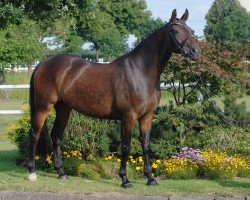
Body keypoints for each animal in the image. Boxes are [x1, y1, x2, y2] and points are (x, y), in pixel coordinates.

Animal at [27, 9, 200, 188]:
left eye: (191, 30)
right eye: (175, 31)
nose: (196, 52)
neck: (140, 72)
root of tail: (43, 63)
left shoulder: (147, 116)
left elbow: (146, 146)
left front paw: (150, 178)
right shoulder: (128, 117)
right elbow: (125, 147)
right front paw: (125, 179)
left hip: (63, 108)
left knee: (56, 136)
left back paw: (61, 172)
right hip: (43, 106)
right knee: (34, 134)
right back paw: (32, 172)